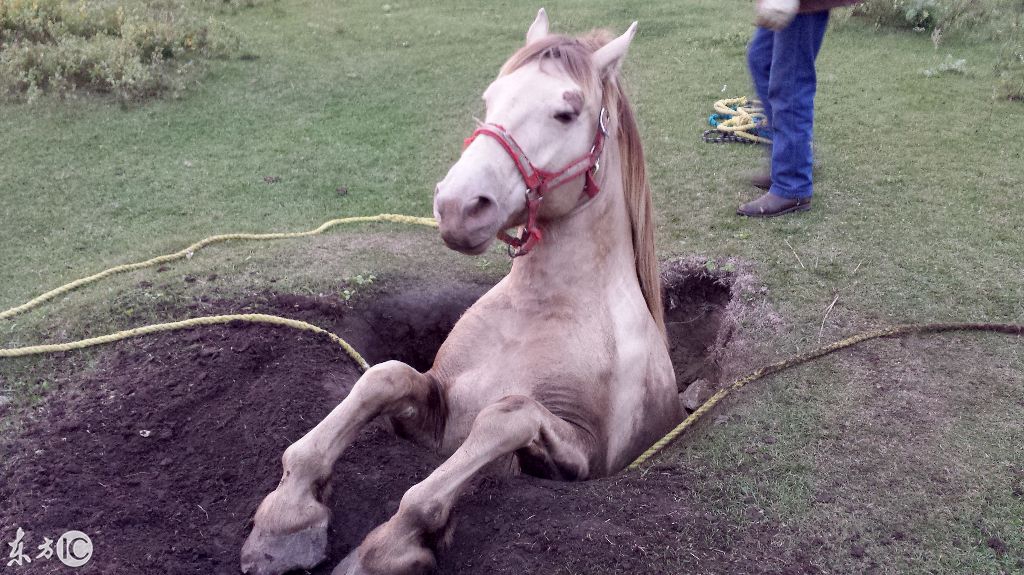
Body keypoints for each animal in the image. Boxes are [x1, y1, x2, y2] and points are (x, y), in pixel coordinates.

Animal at [239, 10, 679, 572]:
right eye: (492, 98)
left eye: (566, 112)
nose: (457, 205)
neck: (542, 312)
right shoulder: (437, 416)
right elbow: (383, 377)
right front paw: (286, 519)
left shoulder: (583, 456)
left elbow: (504, 419)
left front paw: (389, 546)